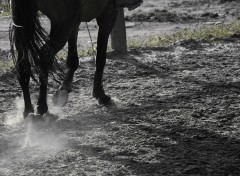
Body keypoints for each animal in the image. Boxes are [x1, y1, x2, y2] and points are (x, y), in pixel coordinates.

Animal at [9, 0, 142, 119]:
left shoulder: (75, 22)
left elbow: (73, 60)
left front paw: (63, 89)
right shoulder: (108, 15)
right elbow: (100, 58)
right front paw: (100, 94)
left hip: (24, 26)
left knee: (22, 64)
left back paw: (28, 110)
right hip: (62, 26)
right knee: (44, 57)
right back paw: (41, 107)